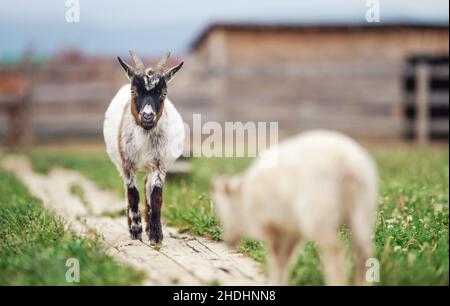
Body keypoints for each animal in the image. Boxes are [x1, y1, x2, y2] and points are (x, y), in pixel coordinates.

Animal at [103, 50, 185, 246]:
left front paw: (155, 234)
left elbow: (156, 196)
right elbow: (133, 194)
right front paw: (135, 230)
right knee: (129, 192)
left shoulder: (159, 165)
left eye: (163, 93)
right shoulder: (127, 165)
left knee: (147, 187)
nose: (148, 117)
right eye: (134, 91)